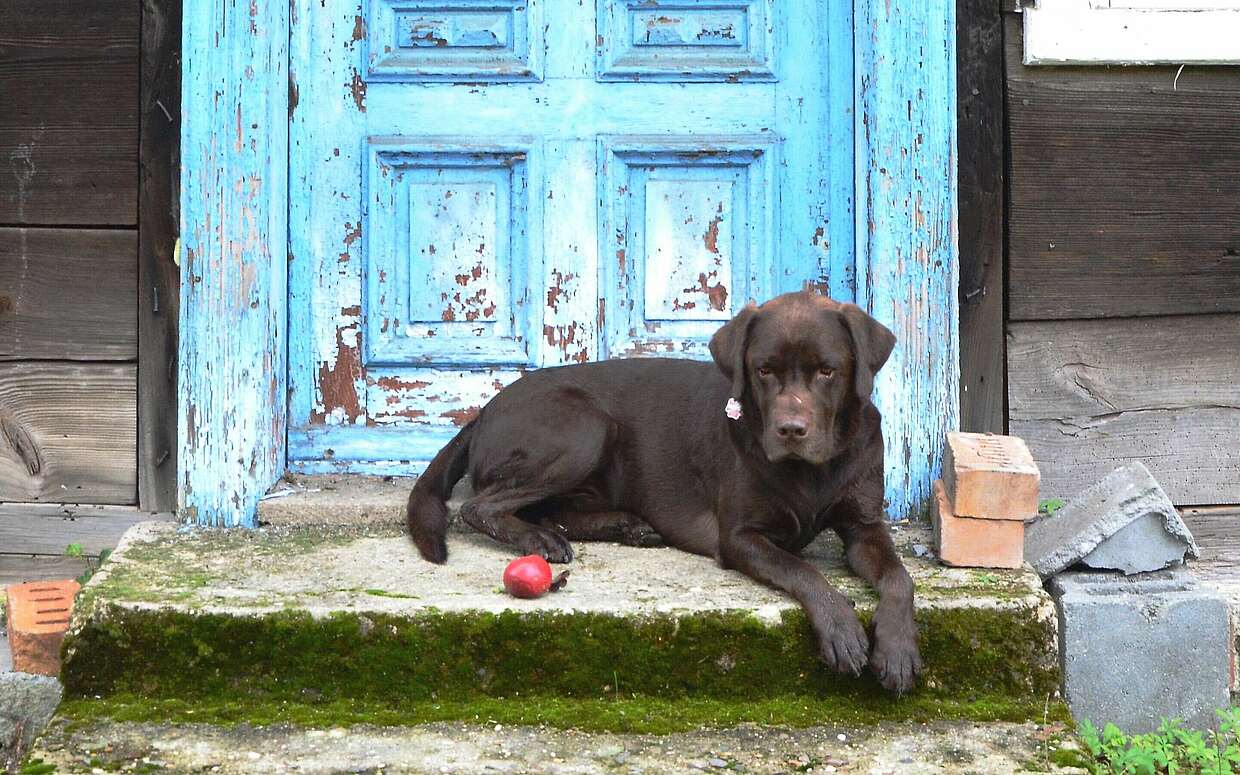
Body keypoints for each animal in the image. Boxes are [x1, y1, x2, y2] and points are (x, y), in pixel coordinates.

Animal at [406, 290, 922, 694]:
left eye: (827, 371)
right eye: (764, 370)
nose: (790, 430)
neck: (811, 471)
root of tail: (482, 412)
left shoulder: (864, 526)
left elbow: (900, 577)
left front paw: (897, 649)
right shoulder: (741, 537)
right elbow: (804, 571)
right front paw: (842, 630)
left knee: (552, 509)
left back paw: (623, 525)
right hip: (585, 426)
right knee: (480, 506)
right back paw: (539, 539)